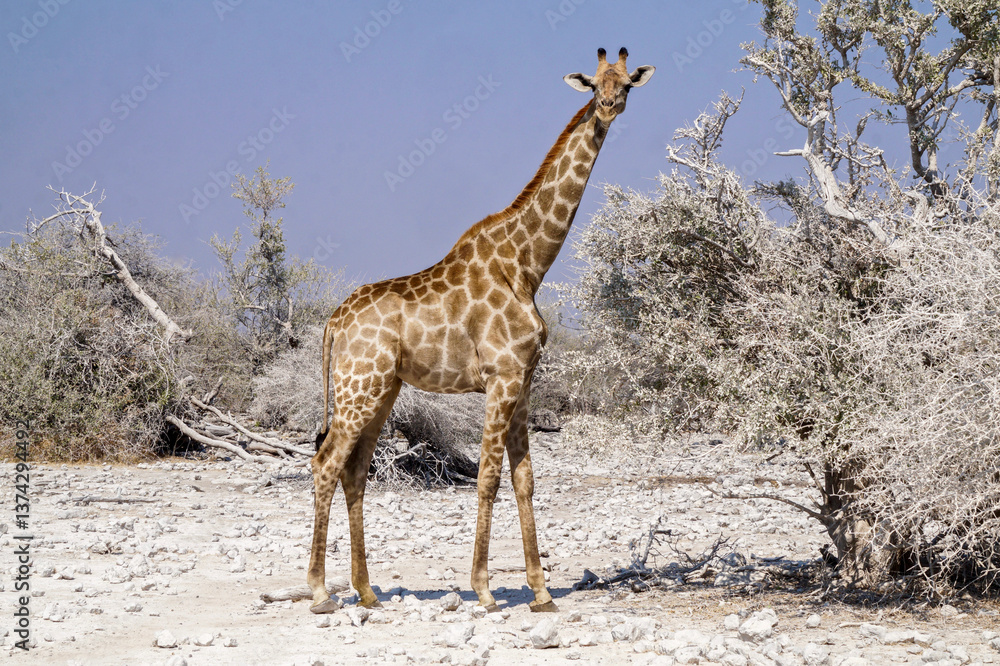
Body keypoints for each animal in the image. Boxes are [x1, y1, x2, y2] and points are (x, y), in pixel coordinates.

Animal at [308, 47, 654, 614]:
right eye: (593, 84)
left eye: (626, 84)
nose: (607, 108)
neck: (528, 265)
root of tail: (333, 322)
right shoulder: (501, 376)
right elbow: (488, 477)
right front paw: (486, 589)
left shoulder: (524, 380)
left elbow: (525, 479)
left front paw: (541, 592)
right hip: (358, 387)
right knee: (326, 464)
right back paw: (319, 591)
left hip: (382, 389)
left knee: (355, 471)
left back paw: (366, 591)